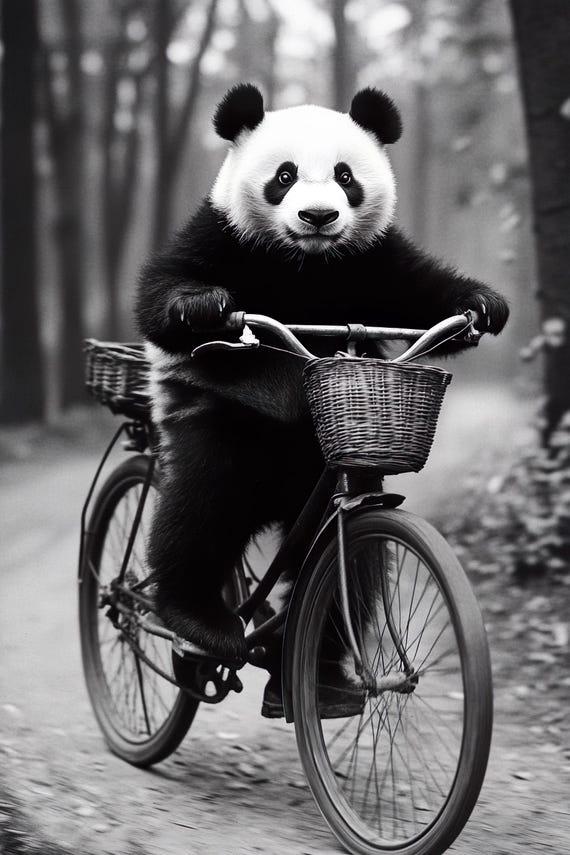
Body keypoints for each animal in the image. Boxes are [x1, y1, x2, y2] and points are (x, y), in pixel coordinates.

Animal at [136, 83, 509, 700]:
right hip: (223, 418)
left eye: (345, 175)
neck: (307, 265)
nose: (318, 216)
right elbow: (162, 294)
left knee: (350, 567)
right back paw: (200, 622)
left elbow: (423, 296)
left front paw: (483, 305)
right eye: (284, 176)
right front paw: (202, 307)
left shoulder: (375, 258)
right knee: (202, 502)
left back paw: (324, 668)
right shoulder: (221, 235)